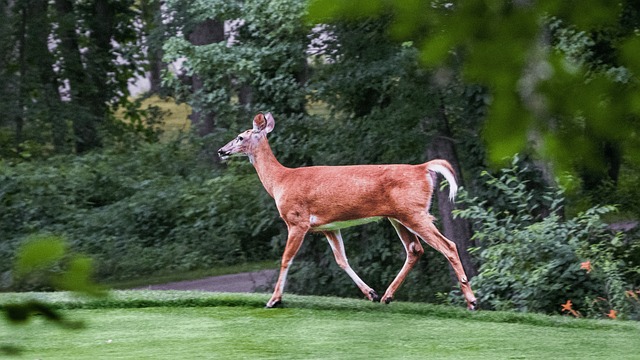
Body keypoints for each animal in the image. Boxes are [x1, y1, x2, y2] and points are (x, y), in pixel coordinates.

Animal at [218, 112, 478, 310]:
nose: (221, 150)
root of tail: (423, 168)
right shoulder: (328, 227)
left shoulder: (297, 221)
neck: (280, 181)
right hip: (398, 216)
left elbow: (285, 259)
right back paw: (386, 296)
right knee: (415, 249)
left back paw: (472, 301)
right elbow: (341, 260)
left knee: (448, 245)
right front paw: (370, 293)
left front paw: (274, 300)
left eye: (240, 136)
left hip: (414, 212)